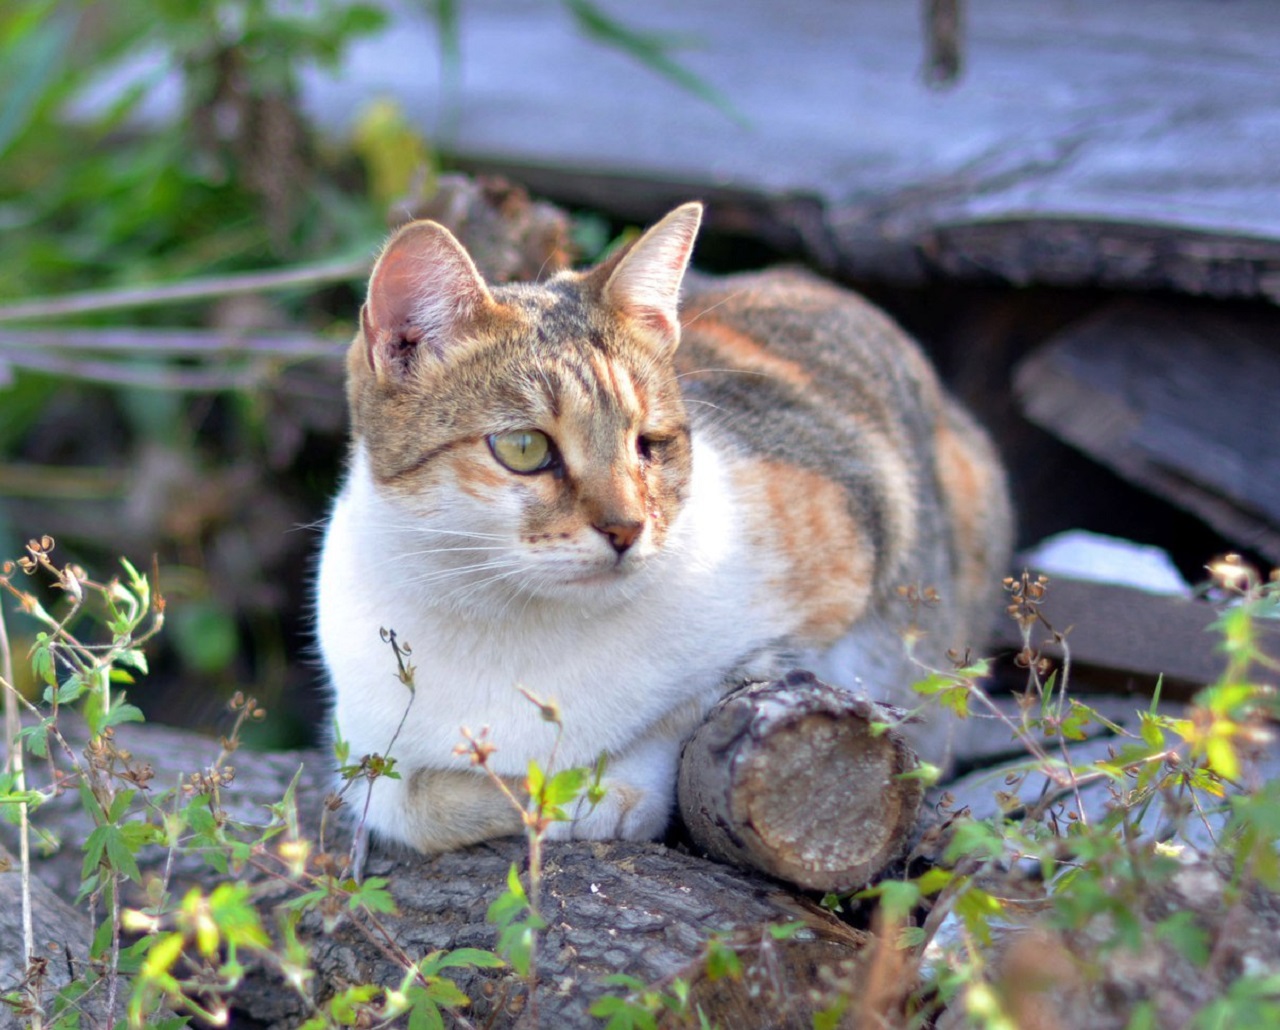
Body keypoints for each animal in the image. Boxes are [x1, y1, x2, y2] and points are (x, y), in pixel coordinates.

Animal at [317, 200, 1008, 849]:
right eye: (524, 447)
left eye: (650, 443)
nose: (626, 529)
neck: (505, 621)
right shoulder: (369, 745)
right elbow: (404, 802)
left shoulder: (868, 517)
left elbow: (709, 699)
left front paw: (610, 792)